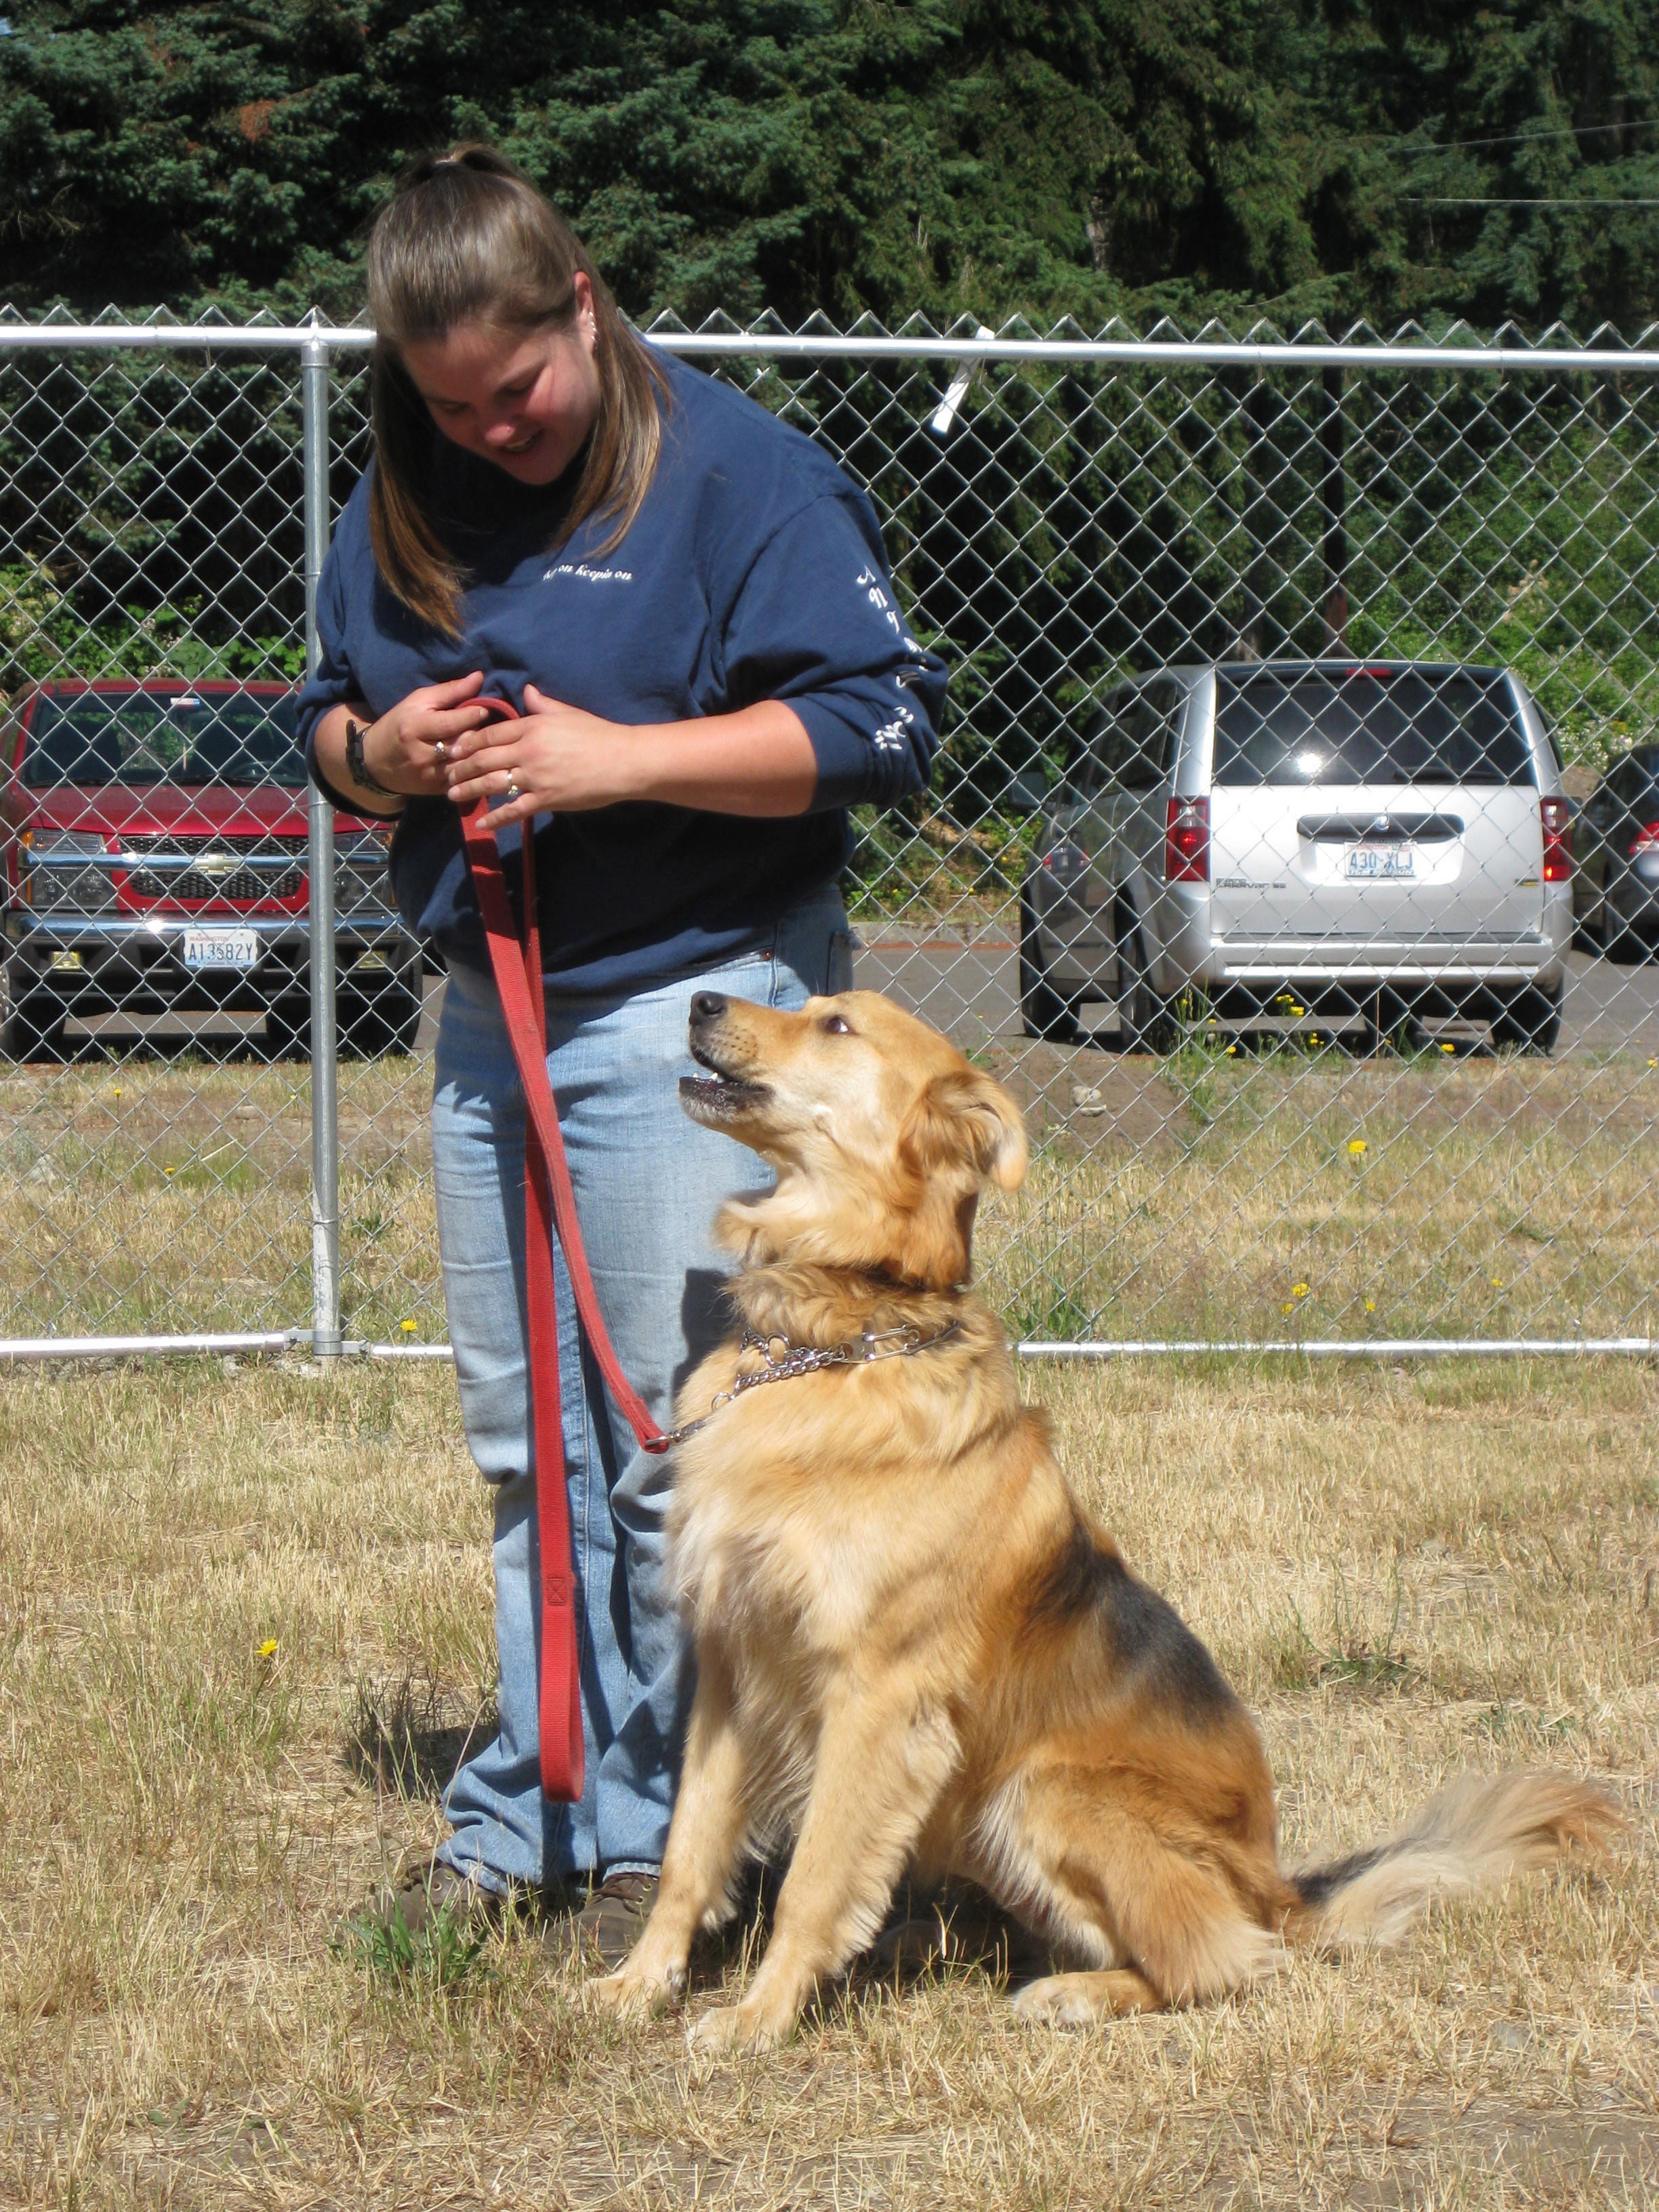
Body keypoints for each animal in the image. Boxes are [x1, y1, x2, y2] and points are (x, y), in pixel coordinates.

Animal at [592, 995, 1628, 2043]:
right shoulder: (731, 1663)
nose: (699, 1001)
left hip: (1046, 1790)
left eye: (836, 1025)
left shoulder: (877, 1693)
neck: (838, 1330)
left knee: (1221, 1961)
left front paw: (759, 2018)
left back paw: (1078, 1991)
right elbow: (689, 1847)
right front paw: (641, 1983)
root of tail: (1281, 1895)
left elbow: (814, 1879)